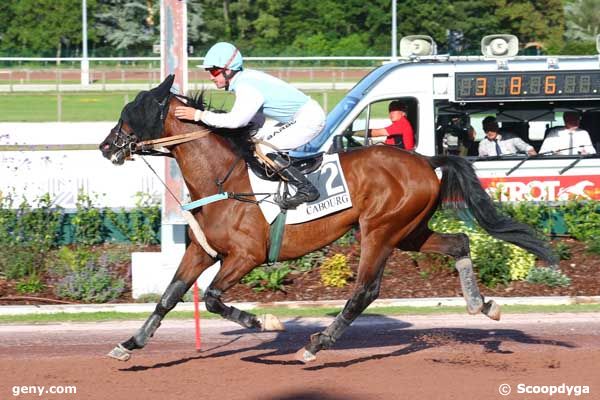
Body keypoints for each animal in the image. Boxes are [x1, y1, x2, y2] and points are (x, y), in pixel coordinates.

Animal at [99, 76, 556, 364]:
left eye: (132, 111)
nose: (106, 147)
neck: (223, 178)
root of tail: (427, 160)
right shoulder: (202, 250)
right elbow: (169, 296)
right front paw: (130, 343)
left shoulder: (246, 256)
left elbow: (211, 297)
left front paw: (263, 321)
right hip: (409, 231)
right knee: (459, 242)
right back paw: (484, 306)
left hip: (380, 231)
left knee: (365, 291)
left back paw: (316, 344)